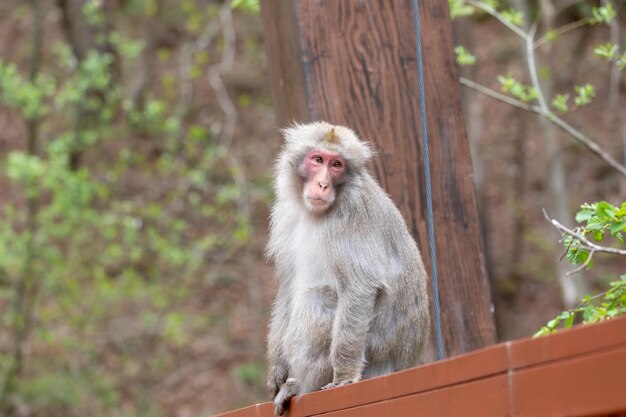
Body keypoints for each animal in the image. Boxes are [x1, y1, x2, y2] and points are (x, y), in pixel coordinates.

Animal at [264, 119, 428, 412]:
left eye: (337, 165)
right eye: (318, 160)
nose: (322, 184)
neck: (314, 212)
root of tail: (402, 362)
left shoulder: (352, 212)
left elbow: (359, 287)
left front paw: (343, 375)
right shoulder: (286, 215)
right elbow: (287, 288)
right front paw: (276, 370)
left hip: (375, 352)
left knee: (317, 299)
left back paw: (301, 385)